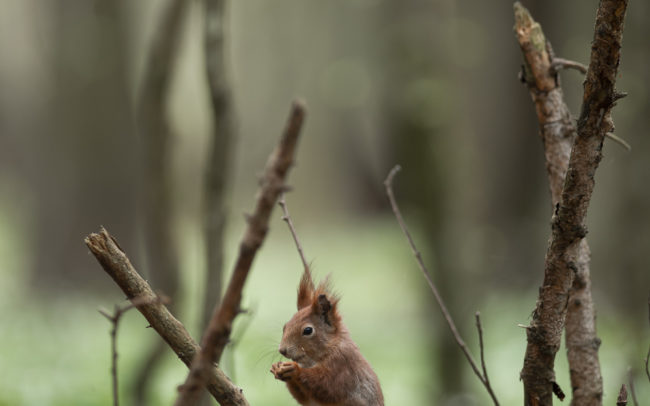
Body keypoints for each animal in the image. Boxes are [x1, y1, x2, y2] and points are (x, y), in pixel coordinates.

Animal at [270, 268, 382, 404]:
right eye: (285, 326)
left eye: (308, 330)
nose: (282, 350)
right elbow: (302, 398)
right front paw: (277, 368)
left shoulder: (343, 364)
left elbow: (329, 387)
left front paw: (295, 370)